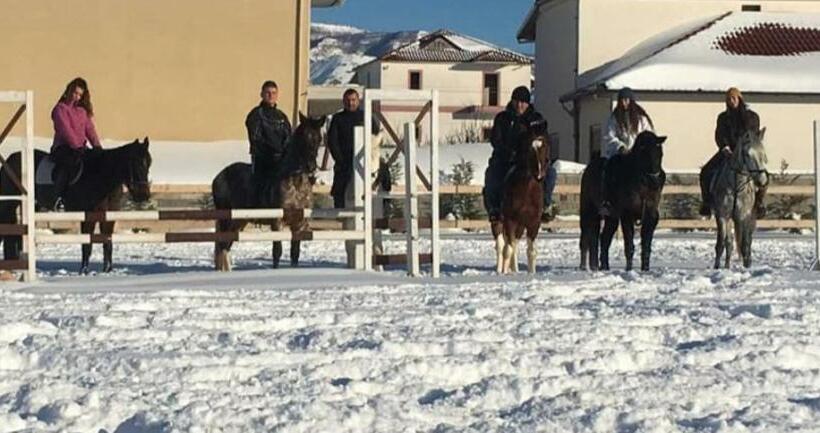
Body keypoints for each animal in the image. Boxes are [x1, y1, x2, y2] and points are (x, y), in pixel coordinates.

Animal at [0, 139, 152, 274]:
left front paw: (108, 270)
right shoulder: (89, 214)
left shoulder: (109, 215)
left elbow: (107, 243)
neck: (100, 175)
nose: (143, 196)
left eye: (149, 163)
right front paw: (83, 271)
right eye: (136, 163)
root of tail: (9, 160)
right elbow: (87, 244)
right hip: (9, 204)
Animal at [212, 113, 325, 271]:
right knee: (223, 246)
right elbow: (277, 251)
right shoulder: (277, 221)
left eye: (319, 139)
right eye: (303, 136)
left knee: (226, 246)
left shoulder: (299, 223)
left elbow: (295, 253)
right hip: (227, 219)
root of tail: (218, 177)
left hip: (238, 221)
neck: (295, 182)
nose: (311, 166)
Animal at [490, 121, 550, 274]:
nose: (539, 174)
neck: (526, 189)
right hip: (498, 222)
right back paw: (500, 269)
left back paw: (514, 269)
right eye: (529, 148)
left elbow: (531, 252)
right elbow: (507, 250)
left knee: (514, 245)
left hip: (520, 226)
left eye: (545, 145)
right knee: (501, 245)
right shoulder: (510, 220)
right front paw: (504, 273)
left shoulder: (533, 223)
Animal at [579, 131, 667, 271]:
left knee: (603, 239)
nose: (655, 180)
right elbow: (629, 245)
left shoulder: (650, 216)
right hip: (588, 211)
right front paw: (629, 269)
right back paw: (586, 267)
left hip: (611, 218)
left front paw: (645, 269)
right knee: (586, 239)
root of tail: (588, 169)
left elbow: (646, 245)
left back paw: (603, 266)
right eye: (644, 152)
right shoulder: (627, 215)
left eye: (660, 153)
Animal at [710, 128, 768, 269]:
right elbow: (723, 243)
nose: (762, 181)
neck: (736, 185)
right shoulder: (722, 215)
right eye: (747, 154)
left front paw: (746, 265)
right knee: (728, 242)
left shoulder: (744, 216)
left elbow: (745, 243)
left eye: (763, 154)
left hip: (751, 217)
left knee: (747, 240)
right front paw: (719, 267)